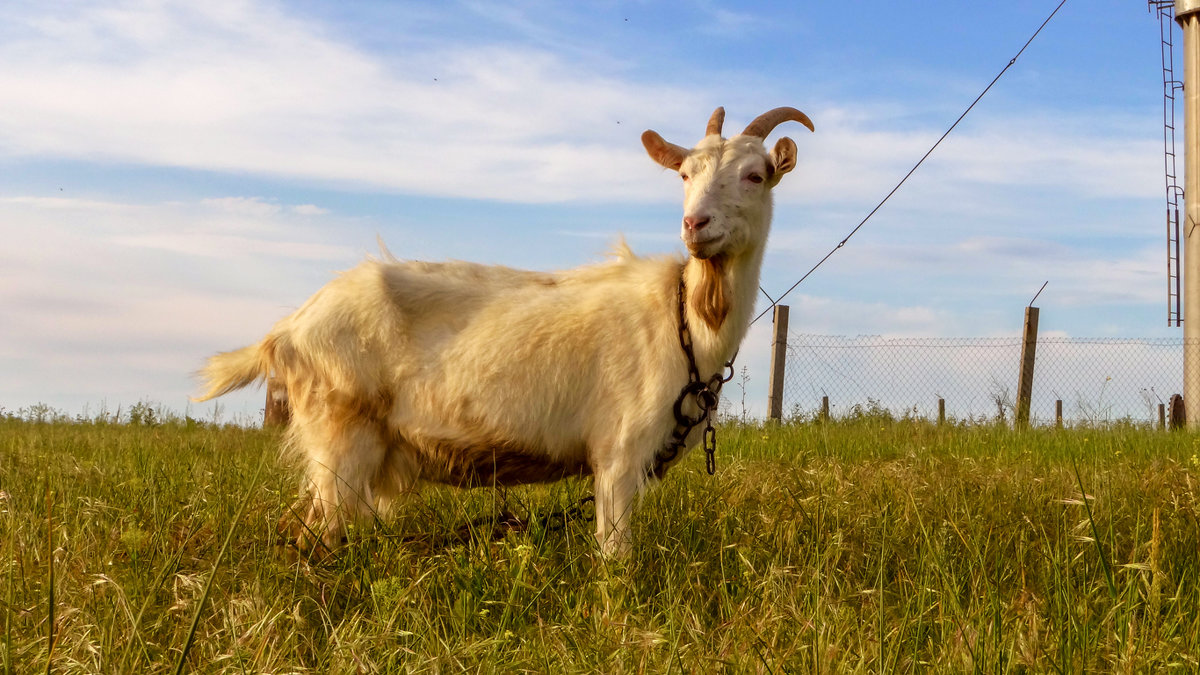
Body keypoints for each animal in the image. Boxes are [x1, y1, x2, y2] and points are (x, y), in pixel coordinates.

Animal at [196, 105, 816, 554]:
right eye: (685, 173)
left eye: (756, 175)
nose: (695, 224)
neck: (686, 317)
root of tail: (287, 330)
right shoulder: (618, 452)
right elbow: (616, 555)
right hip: (338, 438)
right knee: (314, 535)